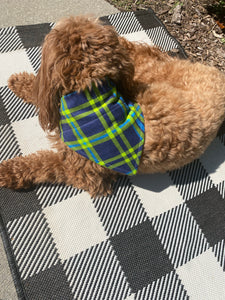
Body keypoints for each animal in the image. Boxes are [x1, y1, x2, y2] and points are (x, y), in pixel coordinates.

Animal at [0, 16, 225, 198]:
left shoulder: (83, 172)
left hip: (147, 72)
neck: (92, 97)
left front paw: (8, 171)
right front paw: (22, 83)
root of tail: (215, 72)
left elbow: (44, 164)